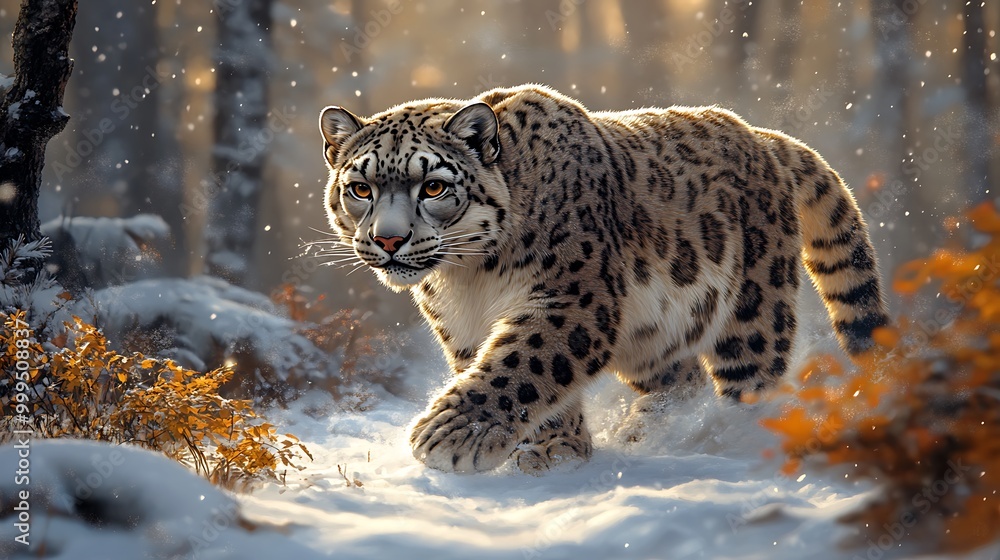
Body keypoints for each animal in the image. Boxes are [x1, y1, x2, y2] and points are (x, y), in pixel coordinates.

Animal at [318, 84, 890, 475]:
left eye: (433, 186)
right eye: (361, 188)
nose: (389, 239)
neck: (467, 278)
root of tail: (761, 136)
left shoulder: (570, 297)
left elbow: (523, 363)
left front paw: (453, 435)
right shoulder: (461, 328)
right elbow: (523, 375)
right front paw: (556, 447)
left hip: (753, 315)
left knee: (750, 383)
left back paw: (733, 439)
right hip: (655, 337)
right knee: (682, 379)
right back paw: (646, 433)